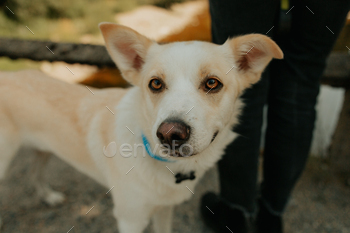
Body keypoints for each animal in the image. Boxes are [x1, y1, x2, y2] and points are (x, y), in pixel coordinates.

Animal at [0, 22, 282, 232]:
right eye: (155, 84)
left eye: (212, 83)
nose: (170, 134)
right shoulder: (130, 219)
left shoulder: (165, 209)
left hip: (43, 149)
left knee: (34, 173)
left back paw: (48, 196)